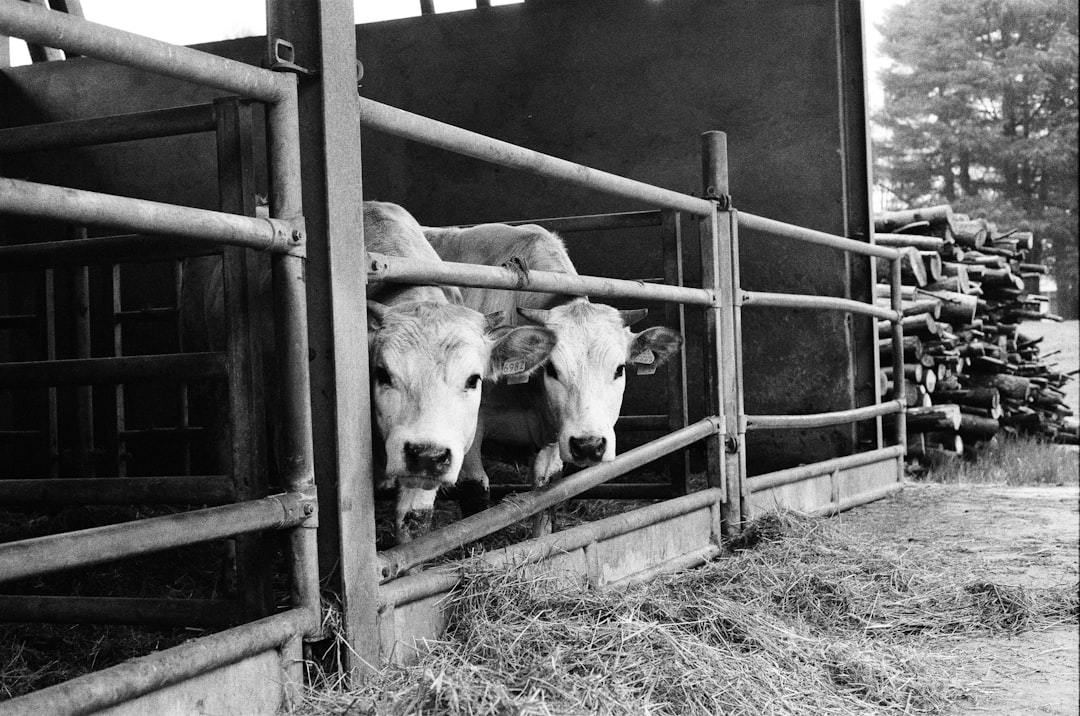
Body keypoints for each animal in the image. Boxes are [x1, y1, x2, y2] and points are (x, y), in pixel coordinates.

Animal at [423, 222, 684, 531]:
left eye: (619, 369)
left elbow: (546, 495)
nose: (589, 445)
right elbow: (474, 497)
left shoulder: (555, 436)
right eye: (551, 369)